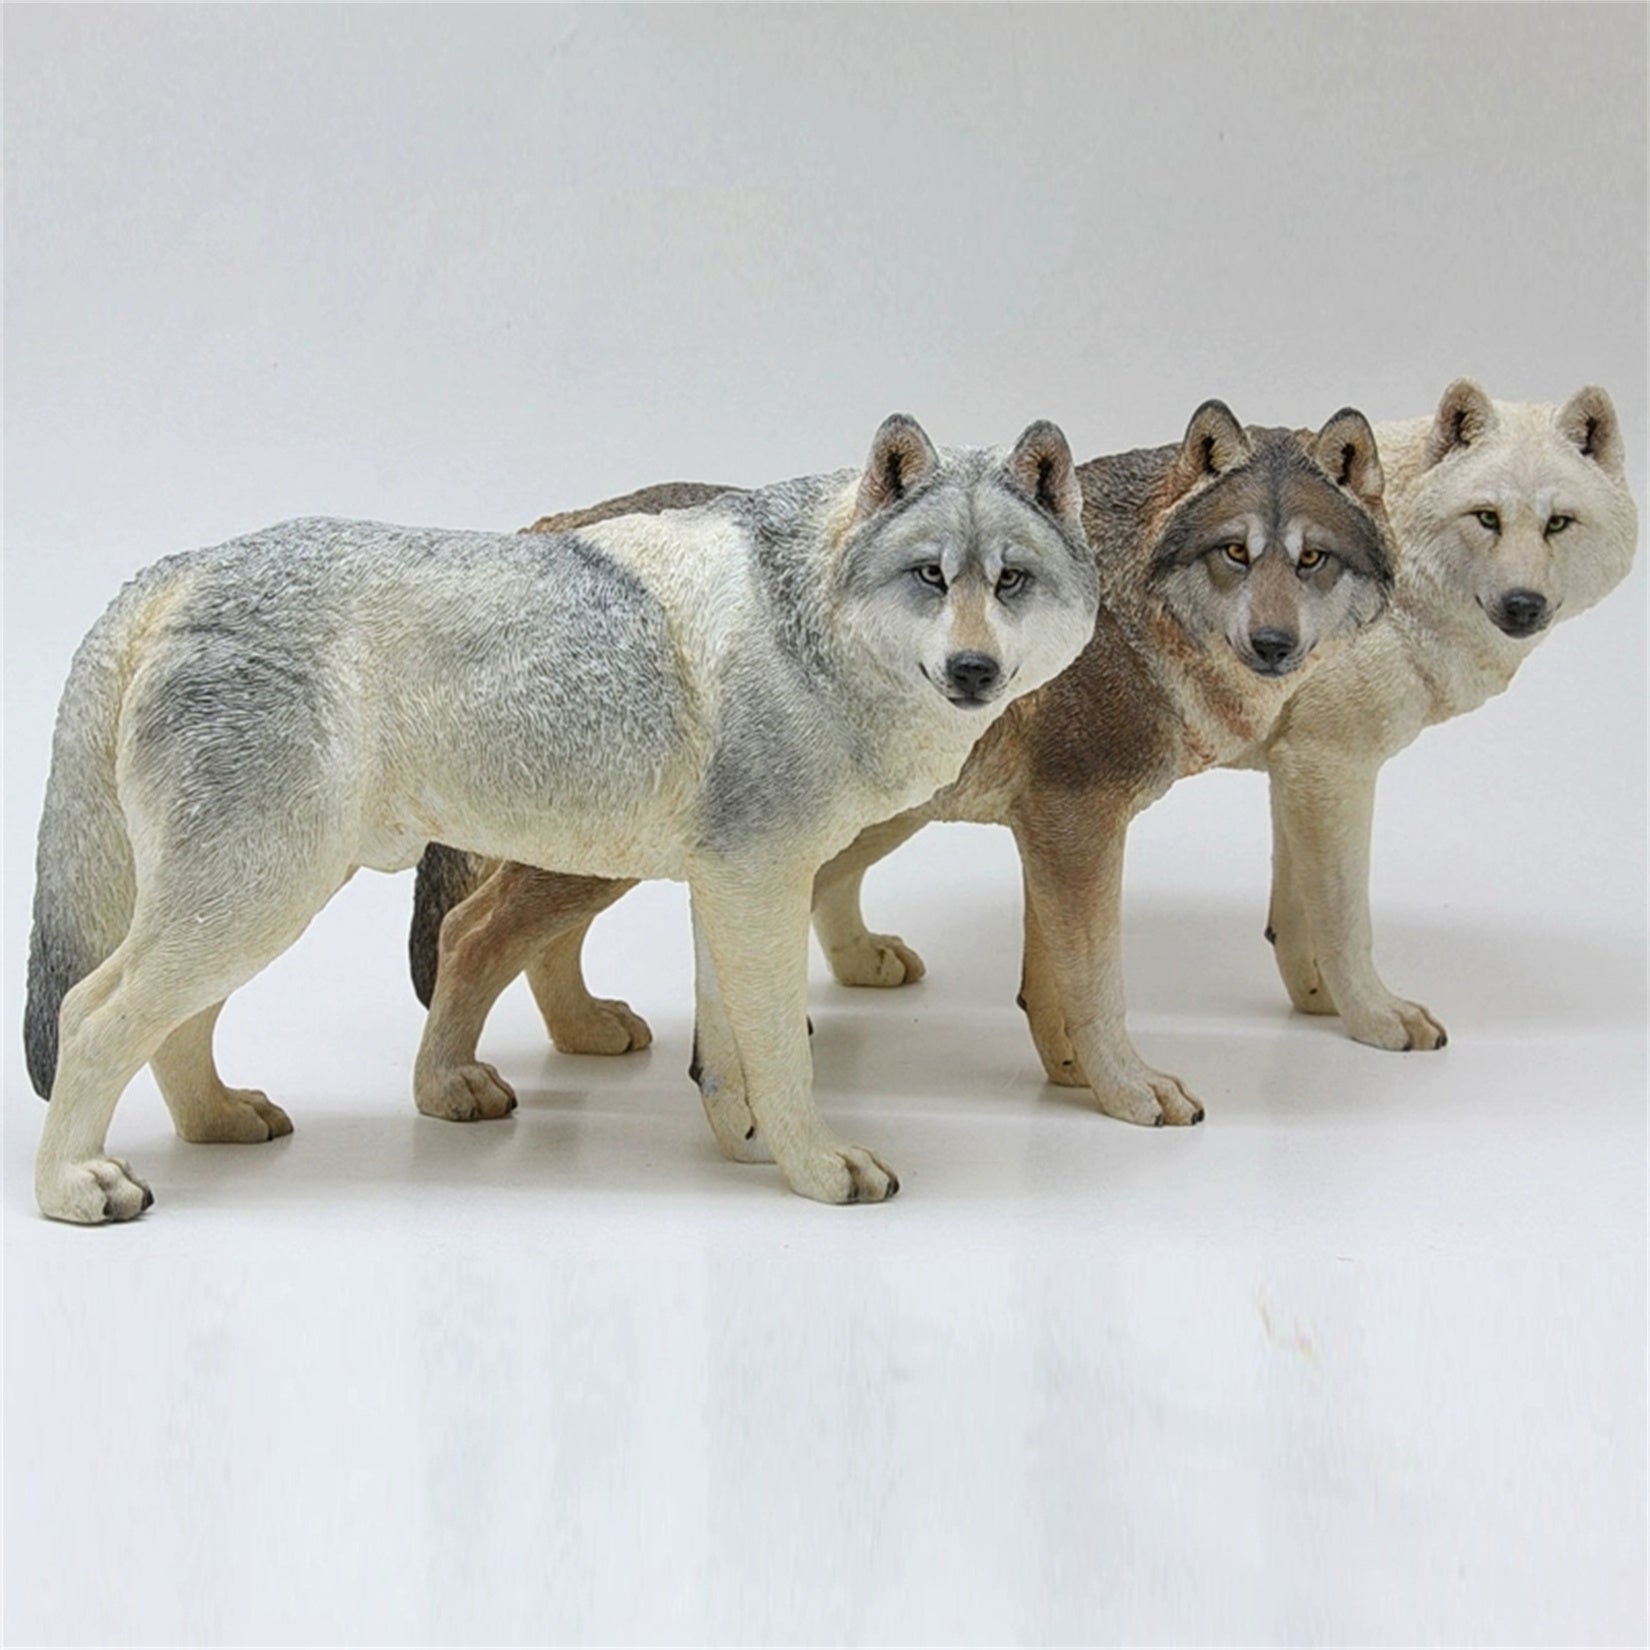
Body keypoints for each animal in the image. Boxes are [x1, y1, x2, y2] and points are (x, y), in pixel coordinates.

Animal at [23, 415, 1100, 1222]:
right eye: (931, 577)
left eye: (1010, 581)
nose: (974, 671)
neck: (812, 626)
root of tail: (184, 564)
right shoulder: (761, 886)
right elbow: (783, 1054)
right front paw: (817, 1167)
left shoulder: (731, 888)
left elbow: (731, 1058)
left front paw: (752, 1148)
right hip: (259, 898)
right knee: (93, 1012)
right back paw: (72, 1188)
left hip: (253, 902)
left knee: (168, 1024)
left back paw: (219, 1122)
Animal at [408, 402, 1395, 1137]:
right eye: (1236, 552)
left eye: (1311, 559)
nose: (1274, 646)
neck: (1125, 611)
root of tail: (546, 525)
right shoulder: (1078, 822)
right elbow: (1095, 985)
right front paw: (1127, 1091)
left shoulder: (1053, 831)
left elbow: (1050, 985)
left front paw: (1072, 1079)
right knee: (469, 934)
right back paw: (450, 1086)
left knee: (531, 941)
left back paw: (583, 1032)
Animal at [1243, 381, 1638, 1051]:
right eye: (1487, 517)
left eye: (1557, 522)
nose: (1523, 605)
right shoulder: (1330, 767)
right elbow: (1346, 922)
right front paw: (1375, 1019)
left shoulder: (1294, 766)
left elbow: (1297, 921)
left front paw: (1322, 1006)